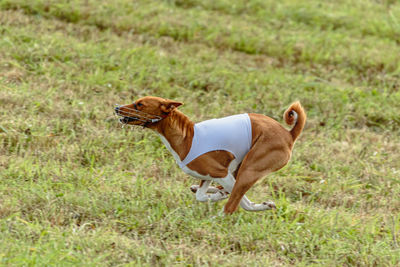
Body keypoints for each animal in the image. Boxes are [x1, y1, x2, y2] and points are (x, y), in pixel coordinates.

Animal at [115, 95, 306, 215]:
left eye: (139, 104)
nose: (117, 108)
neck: (188, 138)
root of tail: (289, 134)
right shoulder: (208, 175)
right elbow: (201, 195)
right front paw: (213, 195)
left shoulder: (221, 173)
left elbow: (238, 201)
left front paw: (219, 198)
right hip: (240, 167)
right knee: (232, 191)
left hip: (249, 169)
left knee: (232, 205)